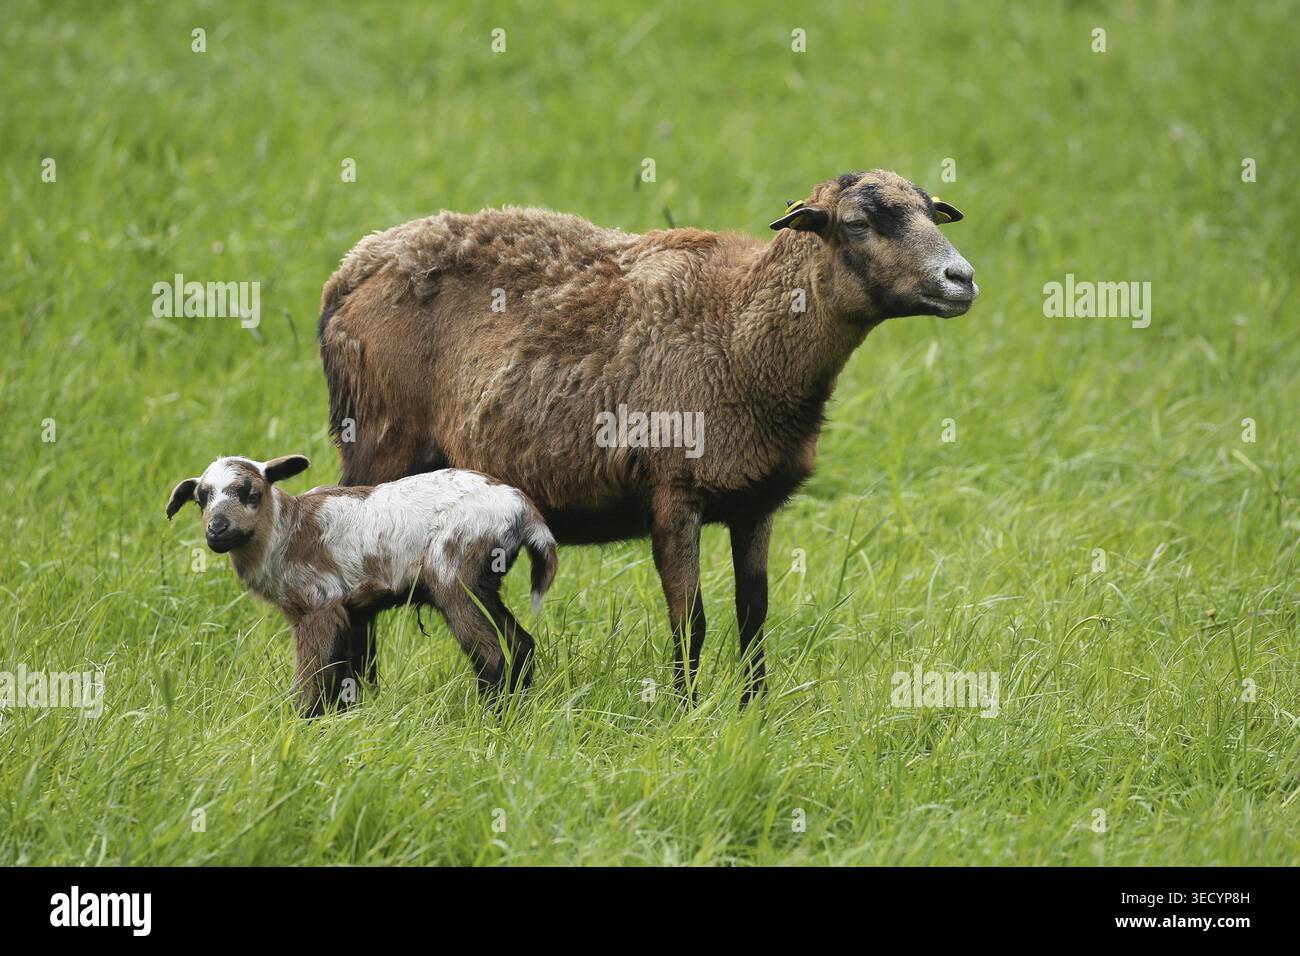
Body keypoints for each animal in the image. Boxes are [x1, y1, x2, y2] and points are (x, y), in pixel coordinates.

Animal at [165, 454, 557, 715]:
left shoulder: (318, 605)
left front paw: (301, 721)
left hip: (455, 575)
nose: (217, 529)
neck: (287, 532)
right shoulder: (352, 612)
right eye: (201, 498)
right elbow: (347, 675)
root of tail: (522, 508)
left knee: (496, 653)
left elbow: (314, 676)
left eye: (251, 492)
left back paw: (490, 716)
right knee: (521, 644)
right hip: (478, 583)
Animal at [317, 168, 978, 702]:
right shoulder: (674, 492)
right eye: (858, 223)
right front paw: (686, 714)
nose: (962, 278)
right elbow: (691, 621)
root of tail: (352, 268)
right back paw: (358, 693)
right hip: (380, 443)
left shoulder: (755, 502)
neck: (740, 333)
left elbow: (753, 616)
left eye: (931, 212)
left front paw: (756, 712)